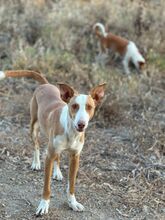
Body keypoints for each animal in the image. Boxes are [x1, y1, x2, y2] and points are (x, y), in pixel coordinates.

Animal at [0, 70, 105, 215]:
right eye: (74, 106)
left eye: (90, 107)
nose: (81, 124)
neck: (70, 131)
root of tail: (45, 84)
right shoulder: (49, 157)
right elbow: (46, 187)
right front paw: (44, 205)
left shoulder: (75, 157)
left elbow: (71, 184)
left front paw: (73, 203)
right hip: (34, 127)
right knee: (36, 145)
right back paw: (36, 163)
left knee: (58, 156)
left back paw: (57, 172)